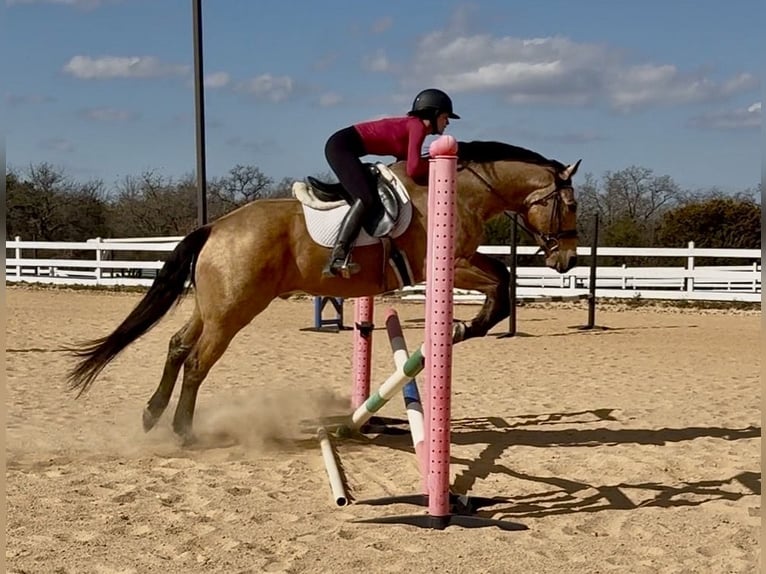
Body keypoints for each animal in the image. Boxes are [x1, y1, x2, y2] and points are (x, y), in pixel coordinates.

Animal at [66, 140, 581, 443]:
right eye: (571, 204)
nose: (568, 261)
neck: (465, 188)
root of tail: (215, 228)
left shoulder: (464, 261)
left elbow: (503, 279)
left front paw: (465, 326)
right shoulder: (449, 264)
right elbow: (502, 284)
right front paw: (465, 327)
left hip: (213, 307)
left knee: (177, 346)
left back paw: (152, 416)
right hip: (234, 311)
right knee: (196, 362)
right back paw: (183, 431)